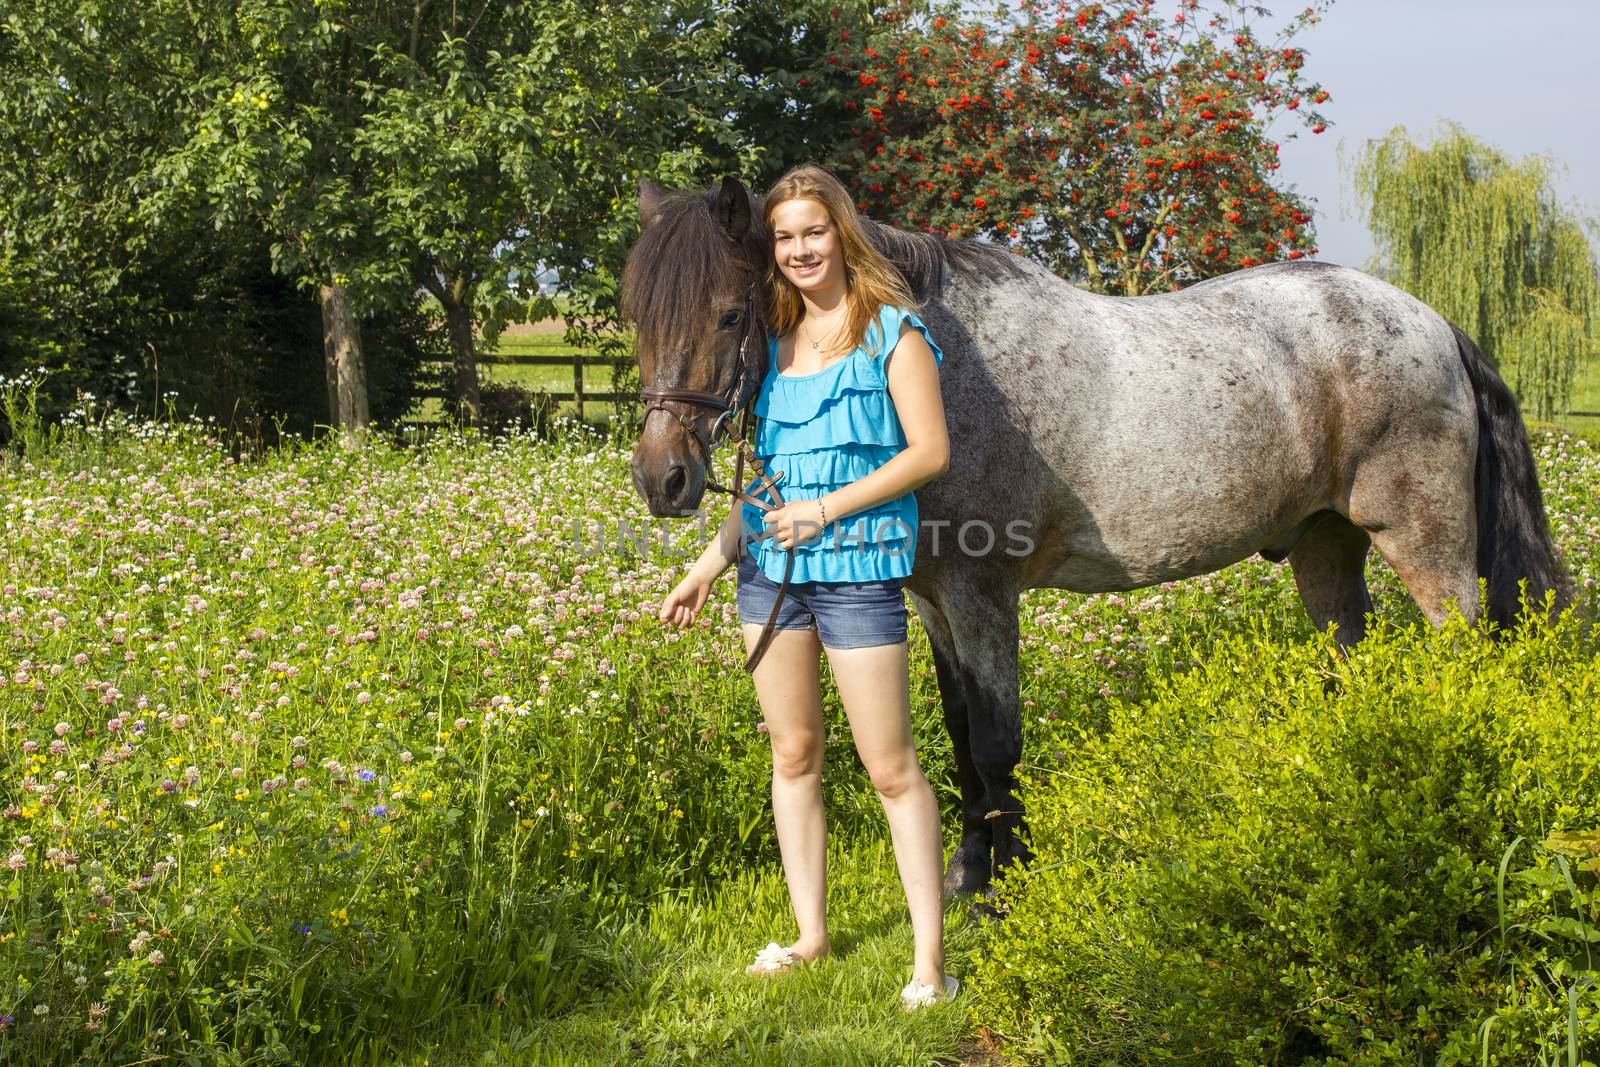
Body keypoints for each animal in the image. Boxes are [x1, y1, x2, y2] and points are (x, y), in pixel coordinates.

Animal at [617, 173, 1568, 895]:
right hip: (1326, 547)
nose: (664, 478)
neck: (944, 371)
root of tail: (1434, 324)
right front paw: (967, 873)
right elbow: (960, 735)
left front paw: (1002, 887)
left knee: (1458, 649)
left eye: (729, 313)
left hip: (1427, 544)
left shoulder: (983, 595)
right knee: (1350, 655)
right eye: (636, 314)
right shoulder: (933, 603)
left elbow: (996, 739)